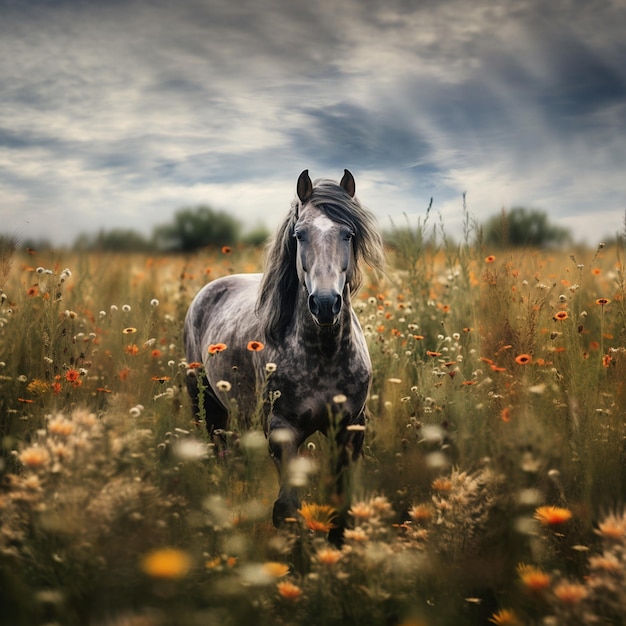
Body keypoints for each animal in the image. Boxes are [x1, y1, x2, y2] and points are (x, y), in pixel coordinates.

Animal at [183, 168, 382, 540]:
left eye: (348, 234)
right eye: (300, 234)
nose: (325, 304)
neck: (324, 355)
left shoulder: (350, 431)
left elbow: (341, 510)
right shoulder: (283, 432)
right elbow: (286, 510)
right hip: (205, 403)